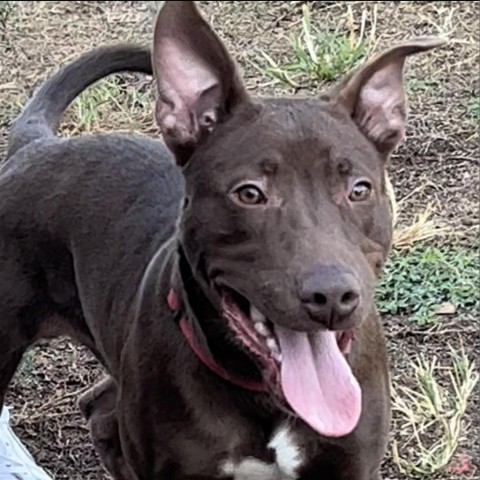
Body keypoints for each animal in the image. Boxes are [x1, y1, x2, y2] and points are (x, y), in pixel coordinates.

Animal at [0, 0, 446, 480]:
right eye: (249, 193)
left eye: (359, 189)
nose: (332, 296)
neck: (266, 394)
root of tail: (34, 145)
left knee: (99, 408)